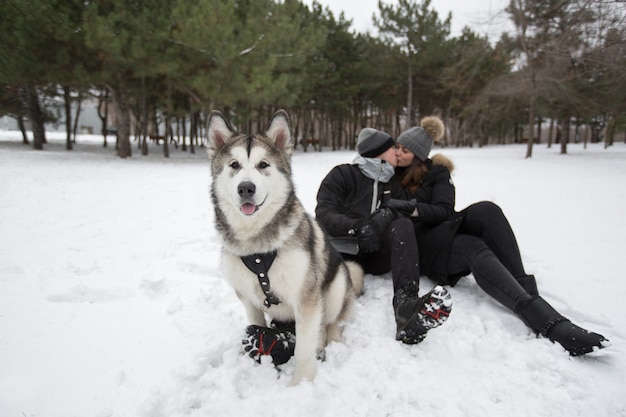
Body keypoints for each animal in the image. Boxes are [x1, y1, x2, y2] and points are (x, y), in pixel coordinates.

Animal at [206, 109, 360, 384]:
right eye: (234, 165)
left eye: (263, 165)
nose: (246, 188)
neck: (256, 249)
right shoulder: (248, 297)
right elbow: (258, 324)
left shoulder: (306, 299)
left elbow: (303, 349)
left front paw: (302, 383)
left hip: (336, 288)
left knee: (330, 323)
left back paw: (331, 342)